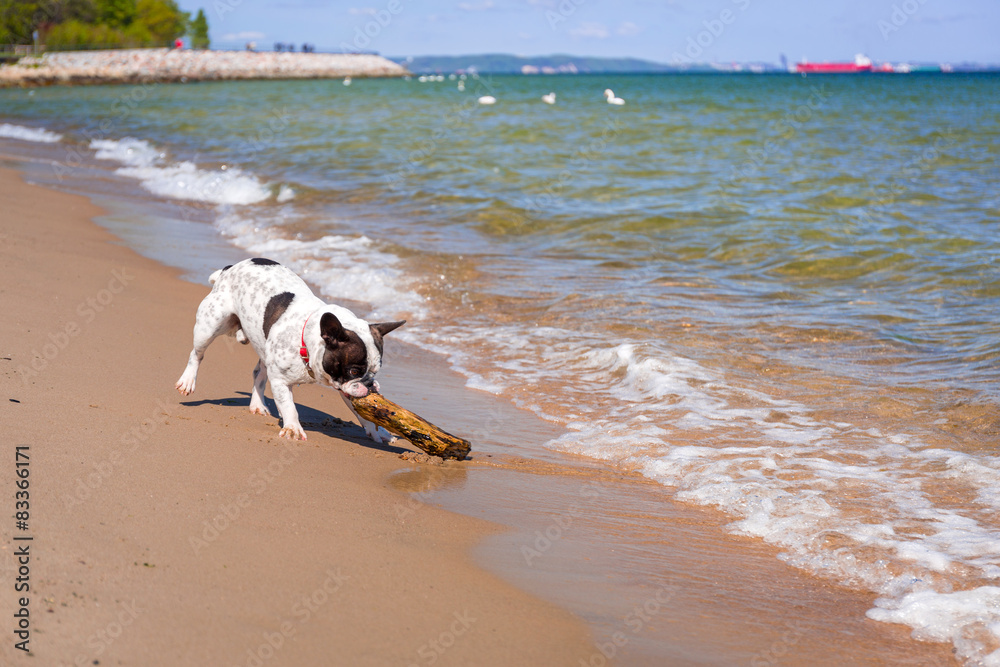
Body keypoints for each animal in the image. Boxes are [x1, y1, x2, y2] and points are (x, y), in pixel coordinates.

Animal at [177, 260, 406, 444]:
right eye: (354, 371)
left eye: (375, 372)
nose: (370, 384)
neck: (307, 342)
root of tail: (230, 268)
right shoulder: (280, 380)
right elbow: (289, 406)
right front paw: (293, 428)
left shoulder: (346, 389)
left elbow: (364, 414)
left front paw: (378, 431)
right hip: (210, 325)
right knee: (197, 354)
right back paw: (188, 380)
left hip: (262, 347)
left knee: (259, 374)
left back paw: (257, 405)